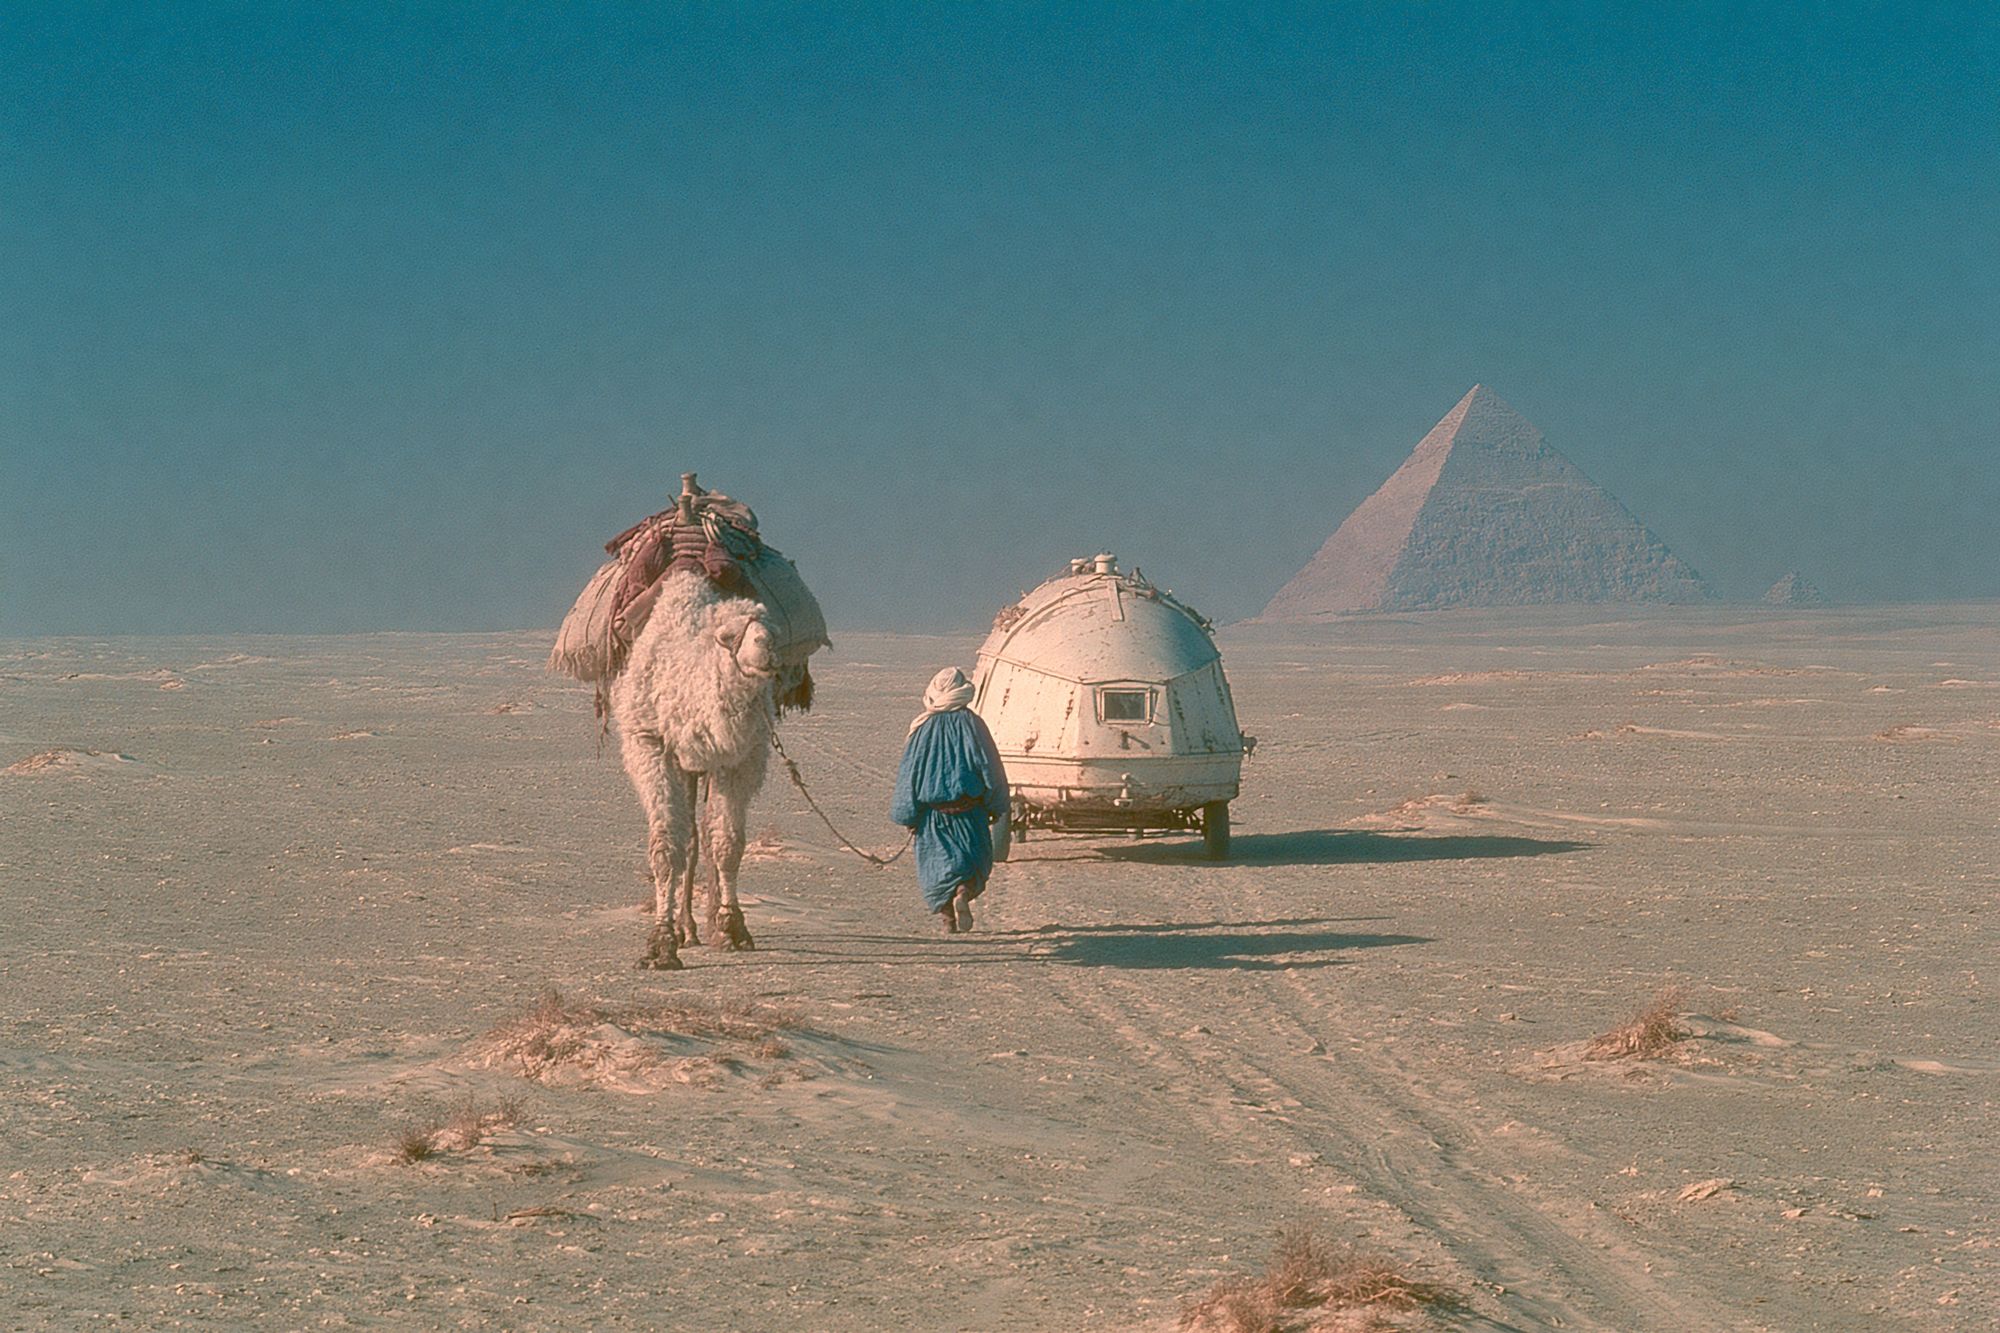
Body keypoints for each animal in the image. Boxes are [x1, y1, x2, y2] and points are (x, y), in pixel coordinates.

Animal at [608, 568, 779, 969]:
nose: (766, 648)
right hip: (682, 767)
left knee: (704, 836)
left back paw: (709, 924)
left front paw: (733, 929)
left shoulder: (738, 758)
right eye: (727, 636)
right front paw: (660, 944)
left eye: (773, 628)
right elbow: (666, 849)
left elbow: (728, 845)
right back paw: (685, 928)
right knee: (689, 839)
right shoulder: (651, 744)